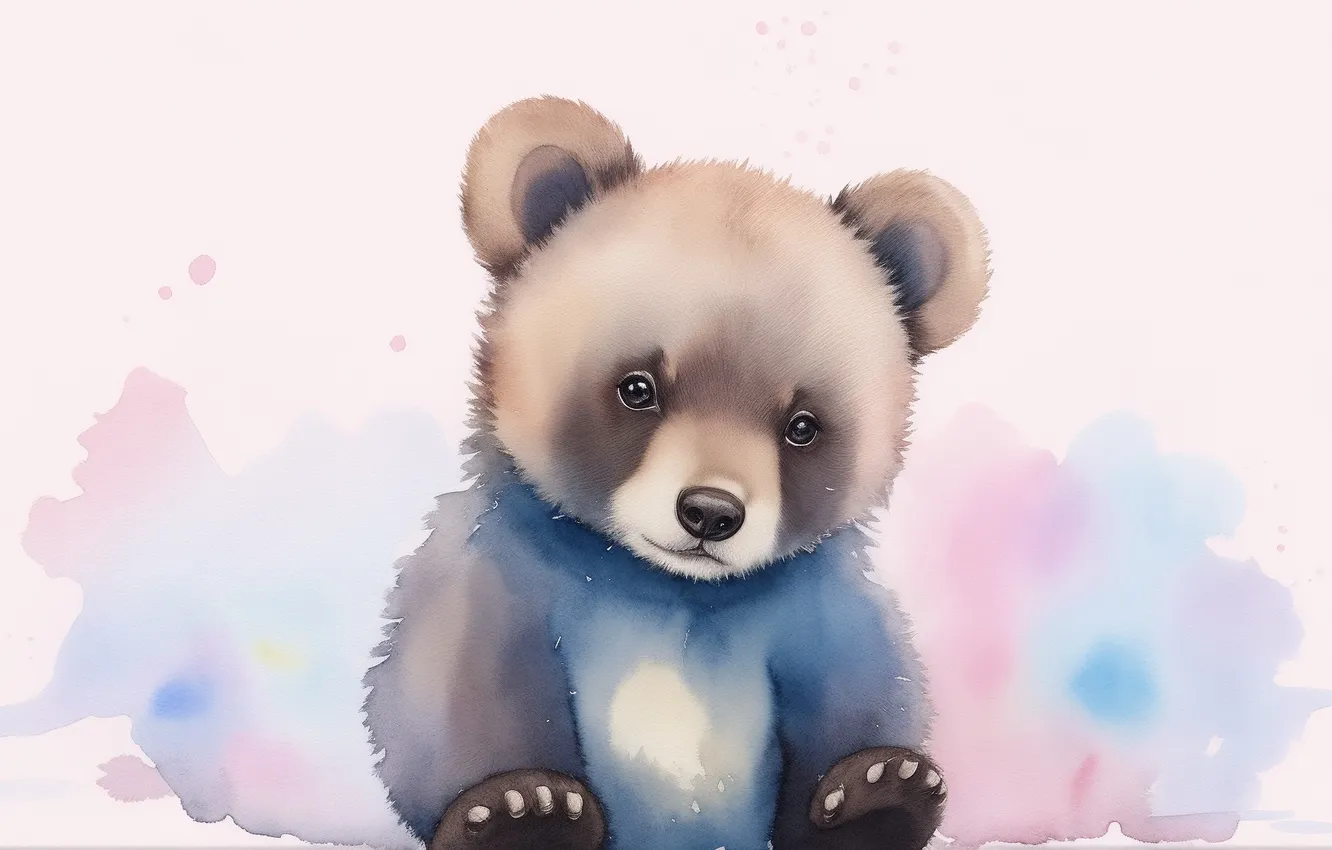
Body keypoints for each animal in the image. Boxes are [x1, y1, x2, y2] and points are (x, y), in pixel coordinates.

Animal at [362, 95, 991, 850]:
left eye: (802, 426)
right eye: (638, 388)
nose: (710, 513)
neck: (670, 590)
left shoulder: (806, 606)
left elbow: (865, 683)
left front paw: (879, 795)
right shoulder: (507, 571)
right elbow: (450, 690)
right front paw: (522, 813)